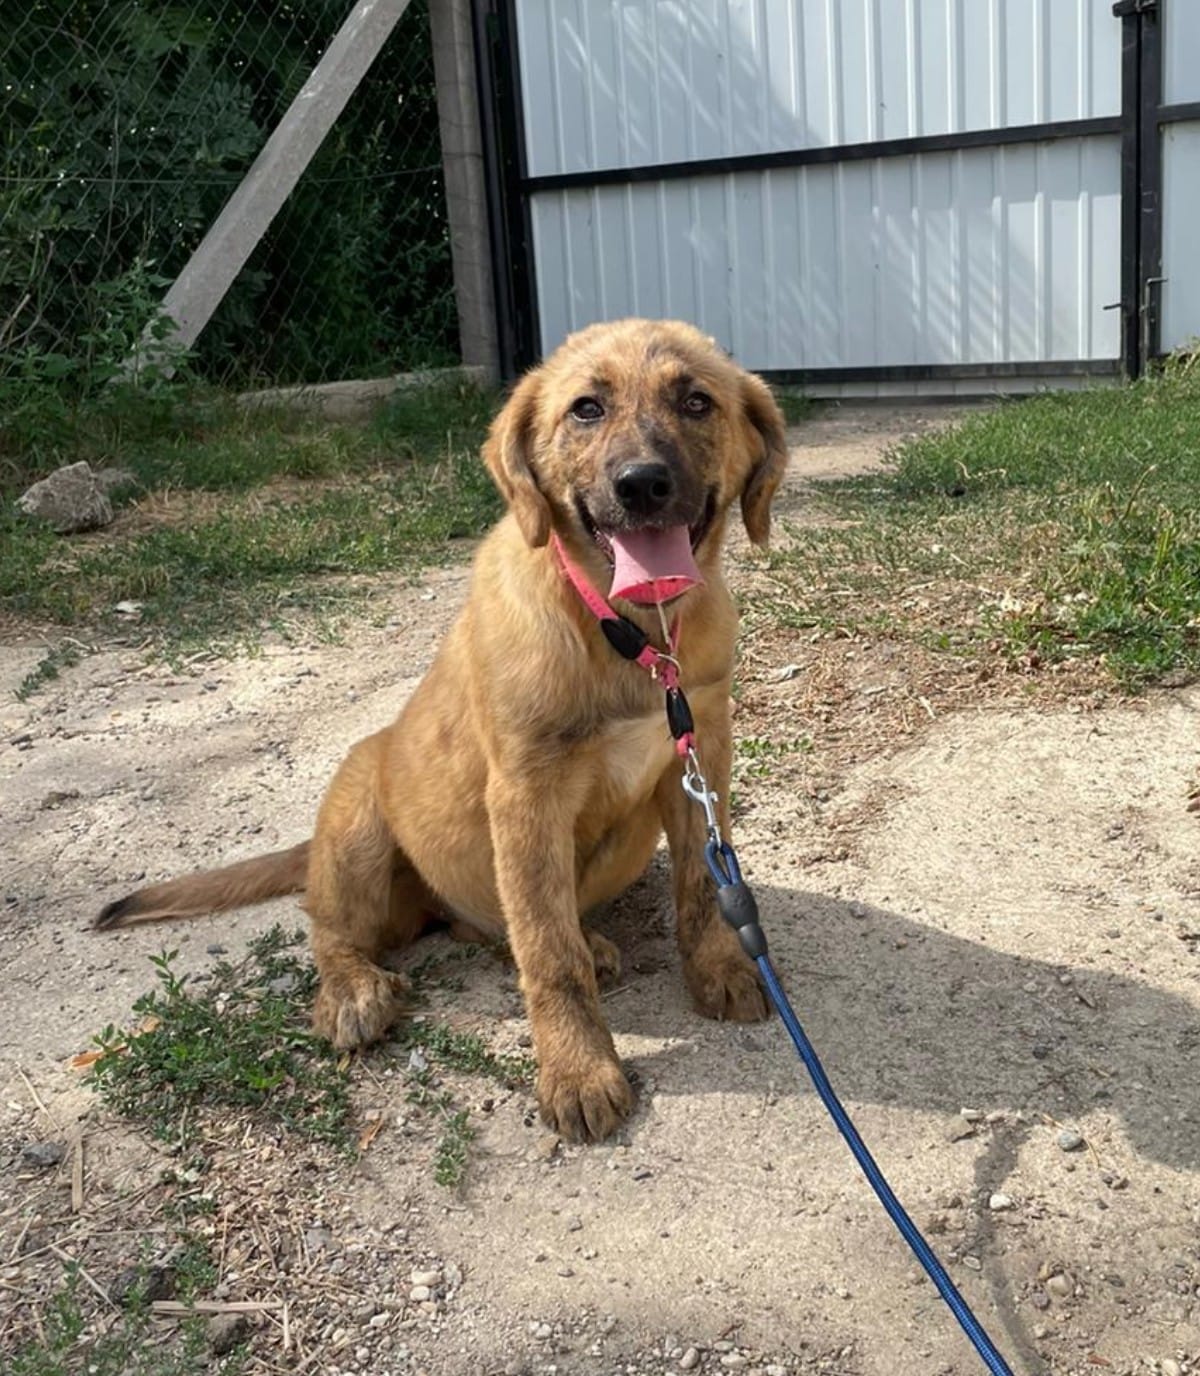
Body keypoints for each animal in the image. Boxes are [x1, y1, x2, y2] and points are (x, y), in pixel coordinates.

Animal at [95, 318, 789, 1142]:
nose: (641, 483)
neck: (631, 638)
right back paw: (353, 991)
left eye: (696, 401)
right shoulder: (525, 797)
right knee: (336, 930)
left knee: (500, 927)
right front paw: (579, 1071)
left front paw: (718, 969)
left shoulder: (699, 758)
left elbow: (701, 888)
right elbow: (549, 956)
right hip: (359, 824)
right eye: (586, 409)